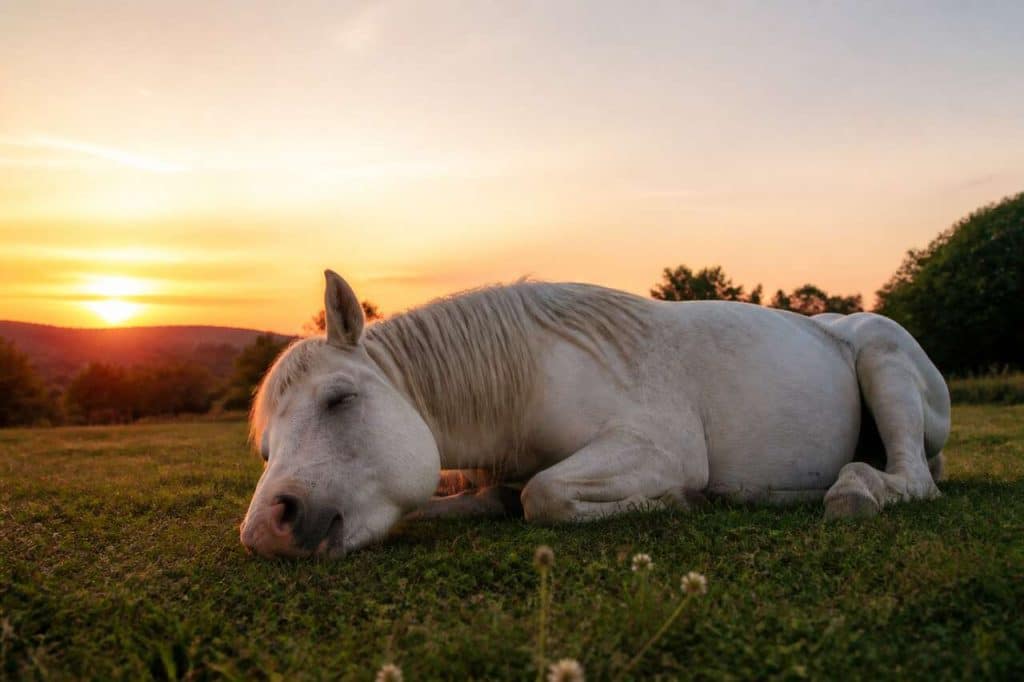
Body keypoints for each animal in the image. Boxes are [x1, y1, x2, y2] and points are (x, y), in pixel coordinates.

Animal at [239, 270, 950, 558]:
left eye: (340, 399)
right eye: (266, 450)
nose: (268, 529)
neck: (528, 372)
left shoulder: (657, 449)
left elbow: (545, 495)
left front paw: (676, 502)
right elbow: (491, 496)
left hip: (883, 358)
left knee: (912, 479)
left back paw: (855, 490)